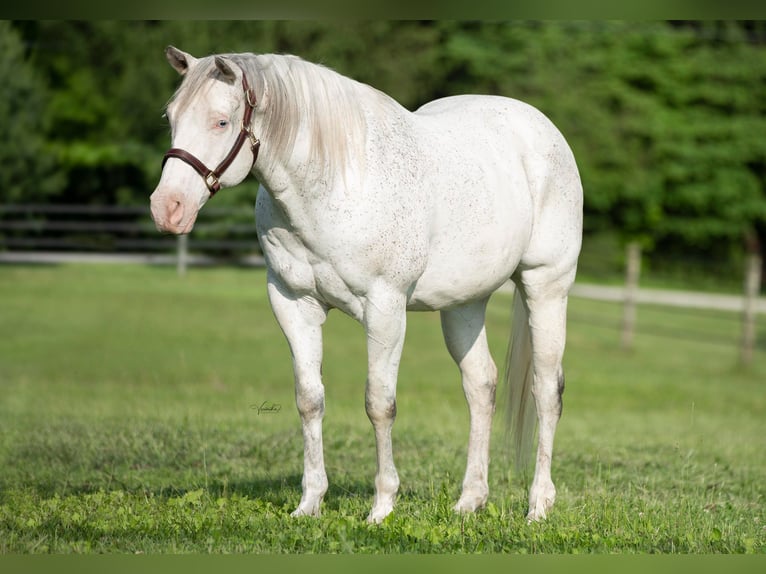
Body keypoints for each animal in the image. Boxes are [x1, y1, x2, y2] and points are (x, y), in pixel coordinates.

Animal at [148, 46, 584, 528]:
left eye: (221, 122)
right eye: (171, 116)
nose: (167, 208)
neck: (333, 182)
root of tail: (542, 127)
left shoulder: (384, 308)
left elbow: (380, 404)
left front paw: (382, 506)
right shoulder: (293, 303)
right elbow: (309, 399)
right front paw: (310, 503)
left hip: (545, 285)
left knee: (546, 390)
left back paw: (539, 505)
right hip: (464, 304)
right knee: (481, 385)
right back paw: (470, 500)